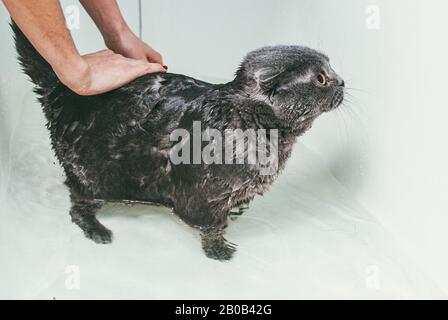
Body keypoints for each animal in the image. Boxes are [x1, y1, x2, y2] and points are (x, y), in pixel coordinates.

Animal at [12, 20, 344, 260]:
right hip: (93, 173)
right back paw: (97, 230)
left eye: (332, 70)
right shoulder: (203, 197)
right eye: (320, 79)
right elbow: (210, 224)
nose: (341, 81)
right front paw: (219, 249)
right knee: (78, 203)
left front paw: (238, 212)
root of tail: (63, 91)